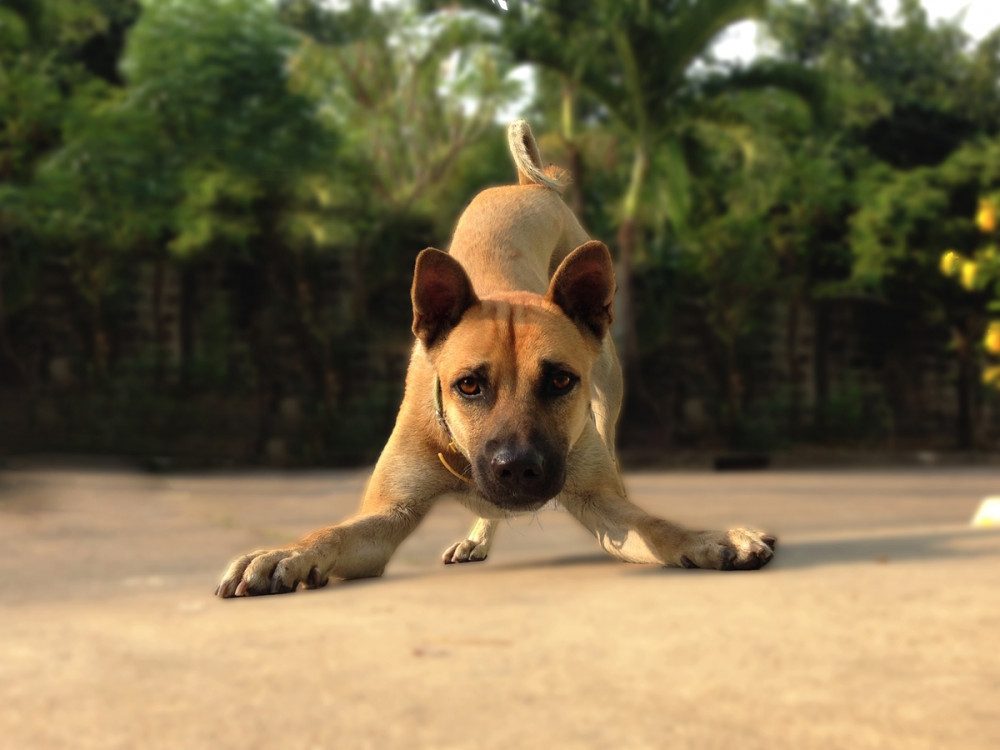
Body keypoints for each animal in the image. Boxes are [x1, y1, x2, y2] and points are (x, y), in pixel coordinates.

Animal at [217, 120, 772, 600]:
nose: (519, 468)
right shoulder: (386, 514)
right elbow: (331, 533)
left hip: (607, 391)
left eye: (560, 381)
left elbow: (655, 525)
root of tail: (526, 186)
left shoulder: (603, 502)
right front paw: (284, 554)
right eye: (468, 385)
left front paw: (708, 539)